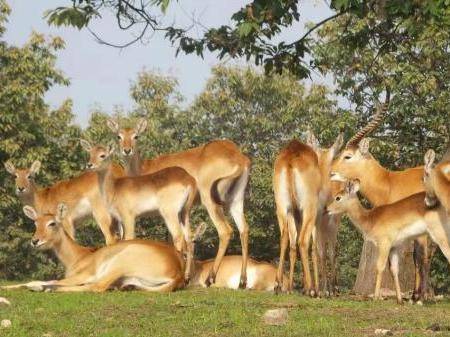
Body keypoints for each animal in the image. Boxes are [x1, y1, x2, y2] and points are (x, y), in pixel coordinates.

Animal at [2, 202, 184, 292]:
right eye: (35, 223)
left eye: (52, 223)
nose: (35, 241)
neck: (79, 256)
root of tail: (177, 270)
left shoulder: (83, 275)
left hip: (119, 264)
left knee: (97, 286)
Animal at [85, 142, 197, 280]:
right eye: (90, 153)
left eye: (102, 155)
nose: (89, 164)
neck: (114, 188)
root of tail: (188, 178)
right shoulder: (120, 220)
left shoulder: (128, 217)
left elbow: (128, 239)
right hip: (184, 213)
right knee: (189, 239)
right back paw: (187, 277)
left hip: (170, 214)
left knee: (178, 237)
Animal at [107, 117, 251, 286]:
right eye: (119, 136)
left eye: (136, 136)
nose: (127, 150)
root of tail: (238, 156)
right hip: (236, 200)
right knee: (244, 229)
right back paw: (242, 281)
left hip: (210, 201)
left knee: (225, 231)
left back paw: (210, 278)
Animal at [272, 131, 342, 294]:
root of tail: (291, 154)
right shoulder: (317, 216)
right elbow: (316, 248)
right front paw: (321, 289)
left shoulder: (297, 215)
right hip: (308, 210)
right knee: (303, 241)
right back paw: (311, 290)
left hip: (282, 209)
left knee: (285, 238)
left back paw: (279, 285)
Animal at [330, 96, 436, 300]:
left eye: (348, 156)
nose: (330, 172)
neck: (389, 183)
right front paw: (411, 296)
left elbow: (420, 258)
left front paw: (418, 297)